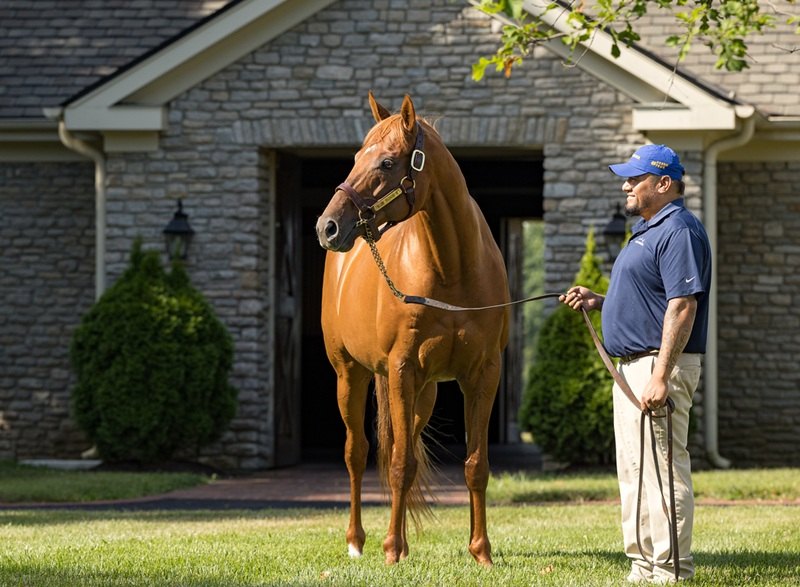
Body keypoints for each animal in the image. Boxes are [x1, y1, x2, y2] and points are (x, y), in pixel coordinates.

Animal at [314, 92, 510, 566]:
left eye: (386, 163)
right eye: (354, 158)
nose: (327, 226)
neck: (453, 270)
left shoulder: (483, 374)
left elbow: (475, 465)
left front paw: (481, 551)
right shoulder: (401, 370)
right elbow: (399, 464)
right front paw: (390, 550)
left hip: (425, 392)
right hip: (352, 375)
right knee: (358, 454)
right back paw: (359, 542)